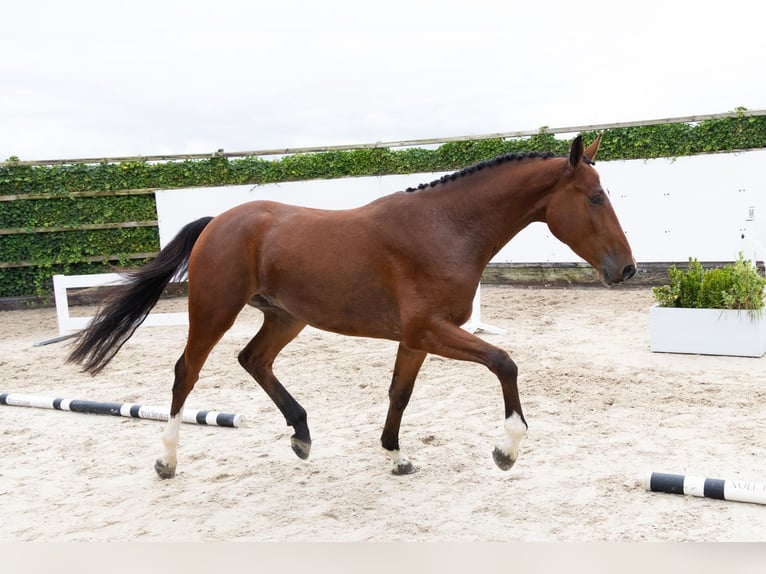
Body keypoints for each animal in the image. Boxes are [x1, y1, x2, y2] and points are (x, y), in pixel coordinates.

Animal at [68, 134, 636, 479]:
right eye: (595, 197)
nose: (627, 269)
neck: (446, 229)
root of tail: (217, 221)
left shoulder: (416, 338)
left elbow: (400, 394)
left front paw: (397, 456)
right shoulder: (431, 330)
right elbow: (504, 363)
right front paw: (506, 450)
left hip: (285, 316)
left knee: (254, 360)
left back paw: (301, 434)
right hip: (214, 311)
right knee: (186, 372)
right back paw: (167, 460)